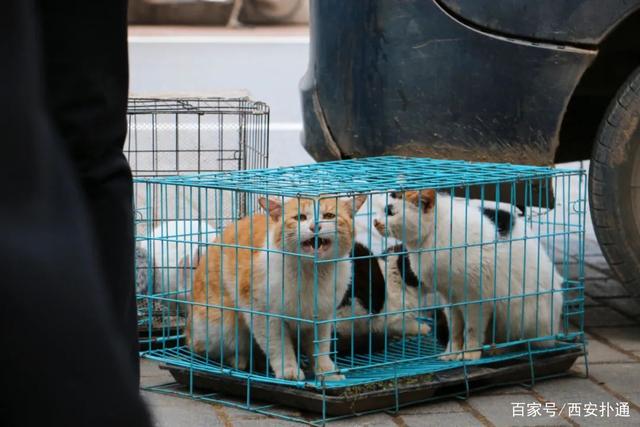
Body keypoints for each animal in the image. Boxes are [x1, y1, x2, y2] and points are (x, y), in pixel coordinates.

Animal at [186, 196, 364, 380]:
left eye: (329, 216)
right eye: (300, 218)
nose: (315, 226)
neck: (311, 273)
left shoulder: (322, 317)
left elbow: (320, 348)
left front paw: (327, 372)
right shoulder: (264, 315)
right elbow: (278, 346)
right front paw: (289, 371)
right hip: (222, 326)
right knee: (206, 349)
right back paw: (239, 359)